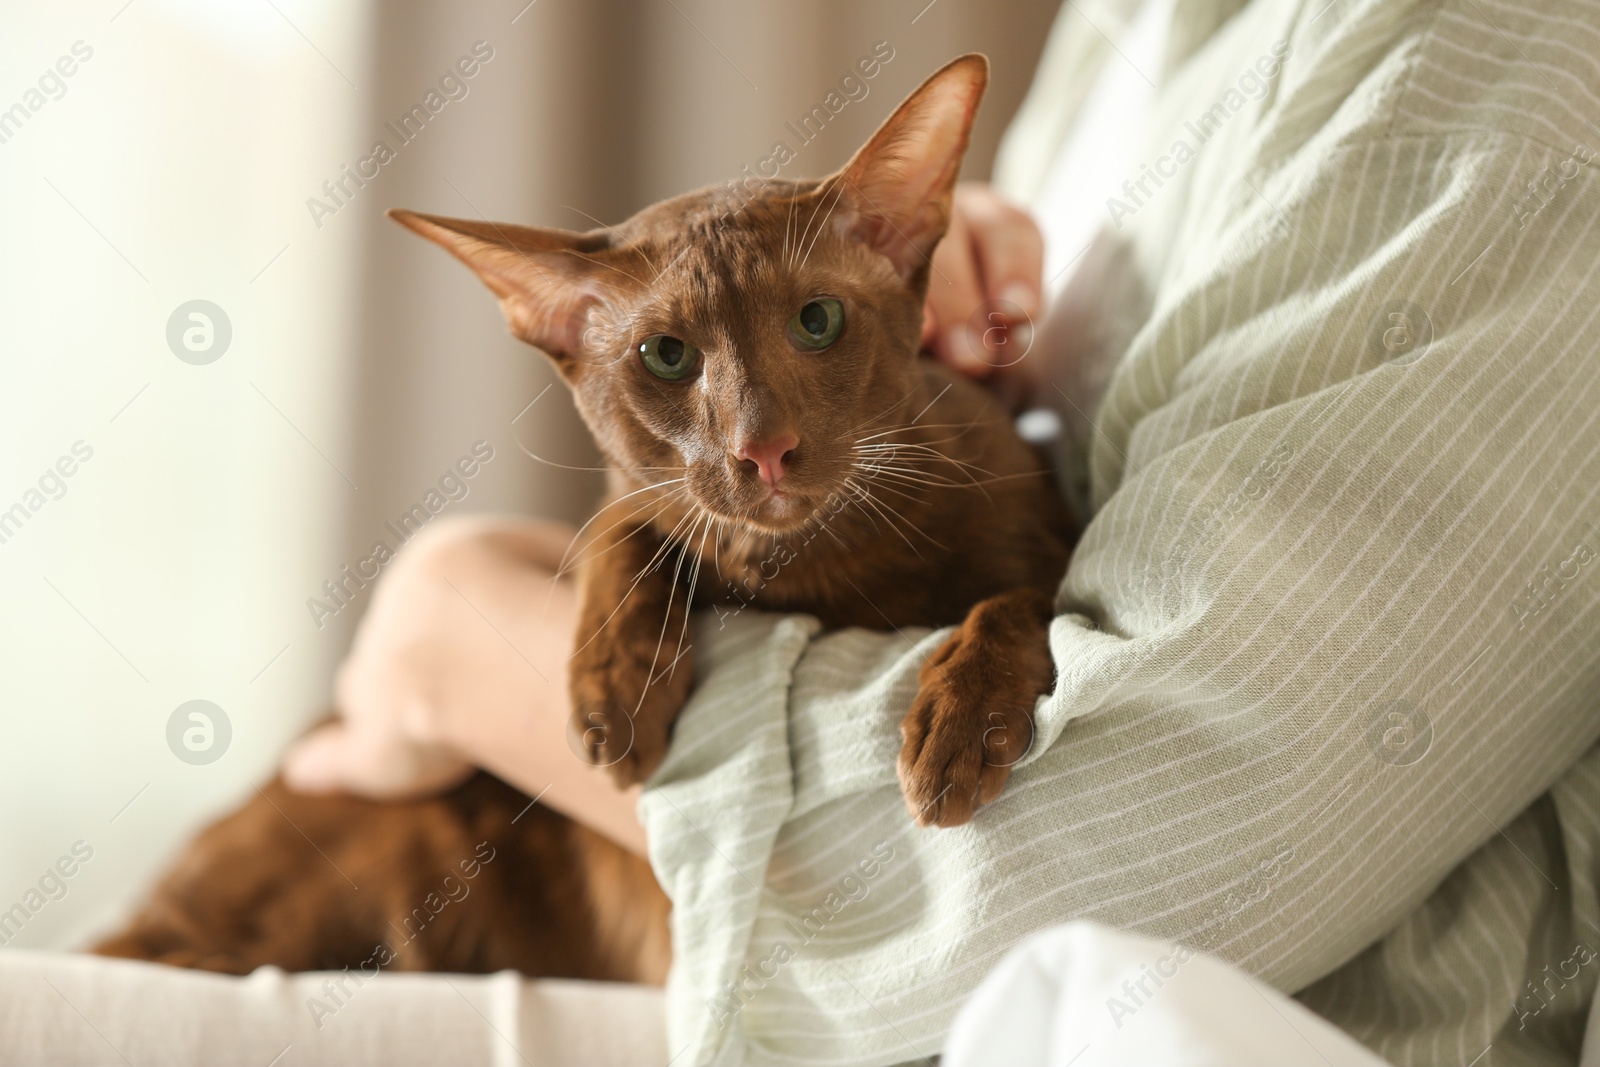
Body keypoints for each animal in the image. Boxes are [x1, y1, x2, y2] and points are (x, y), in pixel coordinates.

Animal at [96, 54, 1075, 979]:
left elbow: (1027, 601)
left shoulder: (1038, 526)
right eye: (667, 355)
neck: (817, 571)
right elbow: (623, 523)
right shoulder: (638, 504)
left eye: (819, 321)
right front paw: (616, 691)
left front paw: (960, 723)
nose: (762, 449)